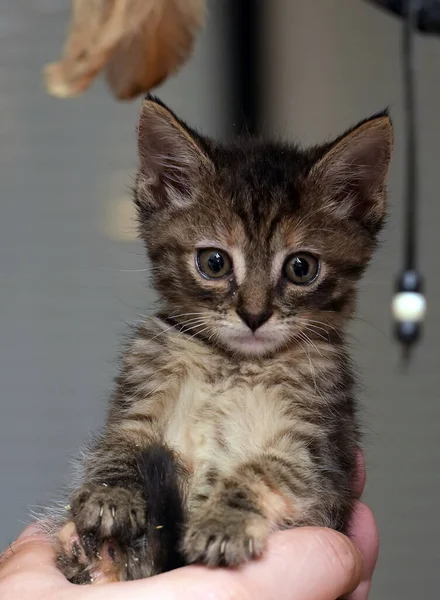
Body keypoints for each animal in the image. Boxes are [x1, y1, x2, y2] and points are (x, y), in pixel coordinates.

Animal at [50, 97, 392, 580]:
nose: (254, 315)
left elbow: (264, 471)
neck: (233, 364)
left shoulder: (320, 449)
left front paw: (222, 524)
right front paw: (109, 493)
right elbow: (120, 444)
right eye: (214, 262)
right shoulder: (137, 401)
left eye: (301, 268)